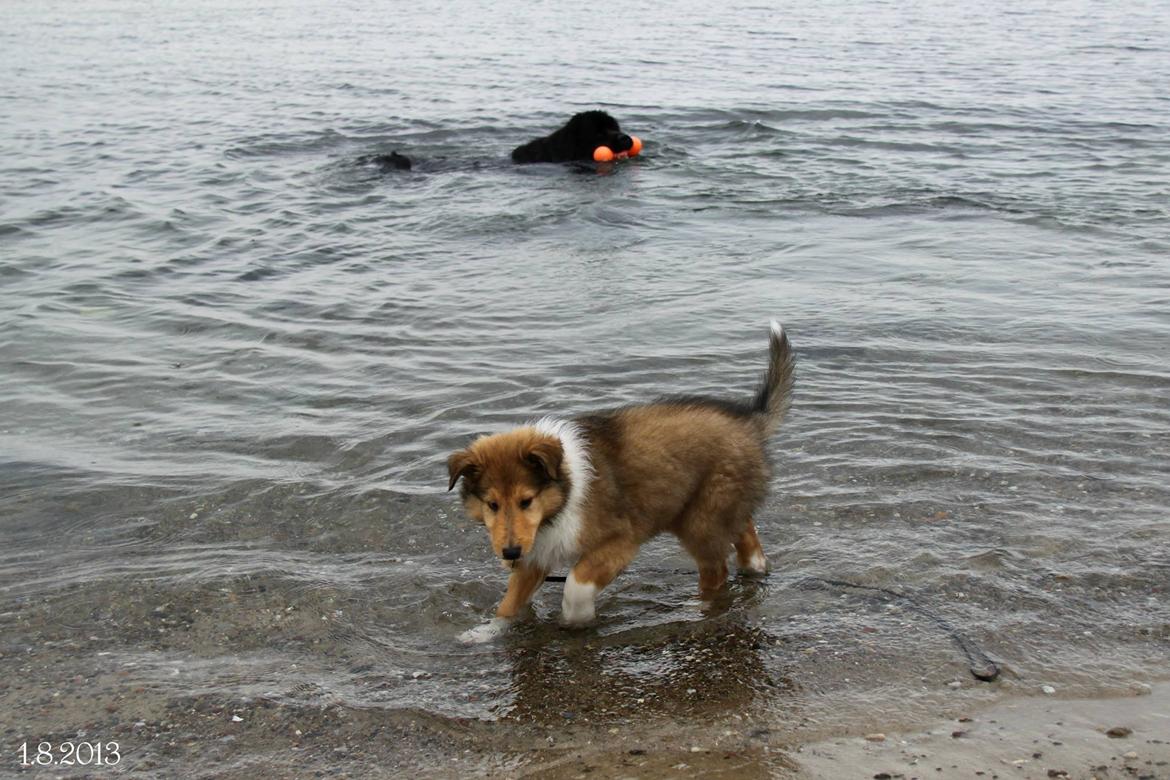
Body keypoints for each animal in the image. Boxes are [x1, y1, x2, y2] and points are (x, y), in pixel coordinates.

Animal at [446, 322, 795, 640]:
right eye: (492, 504)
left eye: (526, 500)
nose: (509, 554)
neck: (563, 495)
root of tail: (750, 420)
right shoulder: (535, 554)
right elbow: (510, 602)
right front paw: (485, 632)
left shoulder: (619, 541)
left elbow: (575, 584)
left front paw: (576, 619)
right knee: (745, 531)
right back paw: (754, 566)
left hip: (702, 517)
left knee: (716, 571)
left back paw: (695, 608)